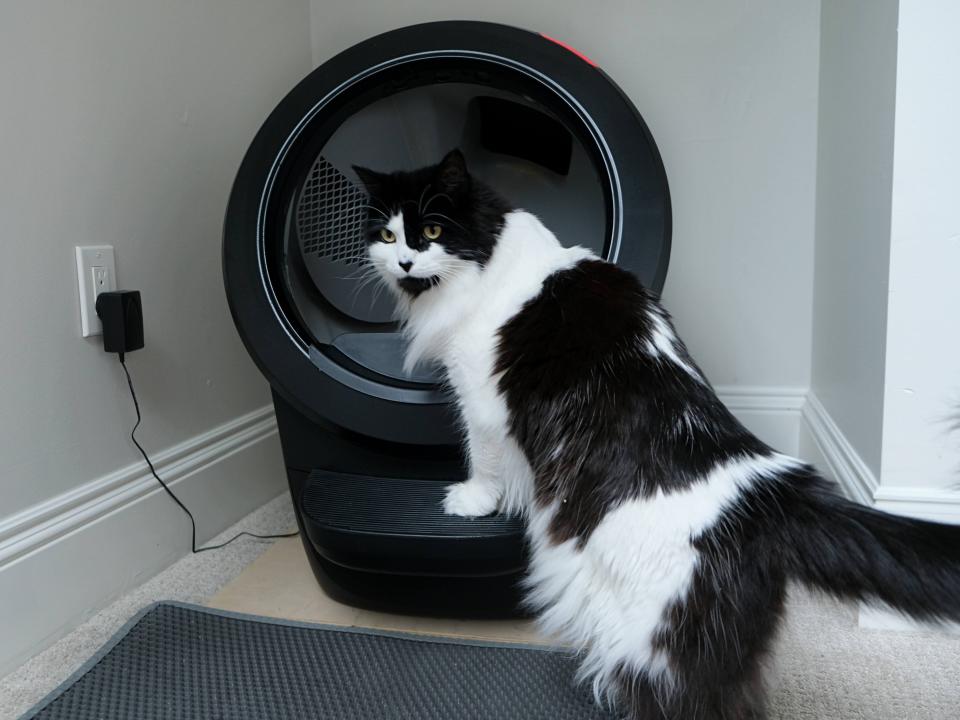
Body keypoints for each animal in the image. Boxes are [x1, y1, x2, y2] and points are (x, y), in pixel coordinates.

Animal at [356, 149, 960, 716]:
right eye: (386, 235)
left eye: (433, 231)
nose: (405, 261)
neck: (491, 261)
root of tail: (768, 488)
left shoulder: (479, 399)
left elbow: (482, 458)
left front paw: (473, 502)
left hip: (652, 644)